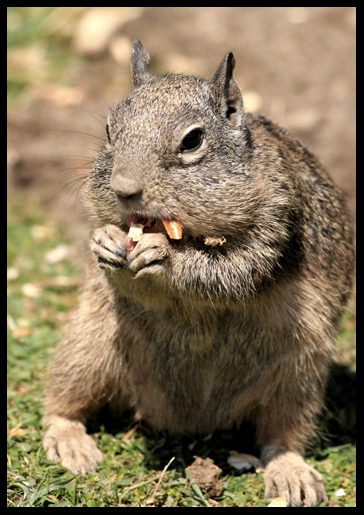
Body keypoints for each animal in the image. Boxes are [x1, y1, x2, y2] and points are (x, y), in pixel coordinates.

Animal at [43, 40, 356, 508]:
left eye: (192, 140)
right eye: (109, 130)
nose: (123, 188)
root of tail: (190, 421)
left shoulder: (276, 225)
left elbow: (230, 271)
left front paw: (165, 258)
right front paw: (104, 241)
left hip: (297, 378)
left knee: (282, 437)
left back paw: (291, 473)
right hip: (86, 349)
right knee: (61, 402)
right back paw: (69, 441)